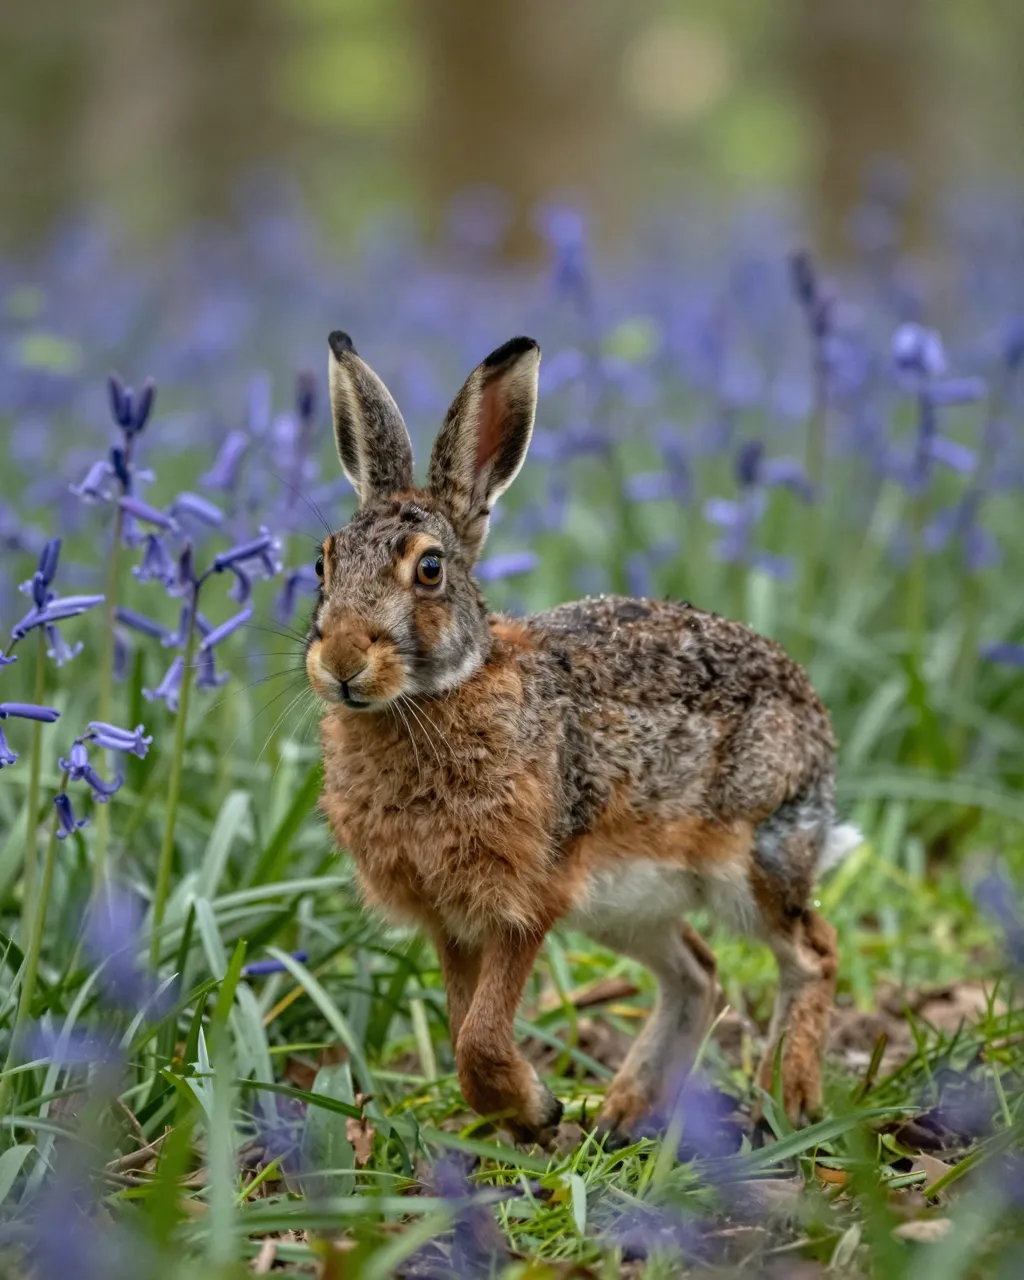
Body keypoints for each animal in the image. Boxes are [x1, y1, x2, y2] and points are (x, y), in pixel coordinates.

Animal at [308, 329, 859, 1143]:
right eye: (323, 562)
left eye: (429, 569)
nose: (342, 660)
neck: (440, 694)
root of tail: (815, 723)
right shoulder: (450, 919)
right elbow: (461, 1029)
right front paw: (524, 1117)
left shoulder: (526, 897)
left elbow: (479, 1035)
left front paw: (535, 1108)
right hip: (629, 902)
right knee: (696, 971)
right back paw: (625, 1112)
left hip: (751, 862)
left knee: (813, 954)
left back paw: (785, 1100)